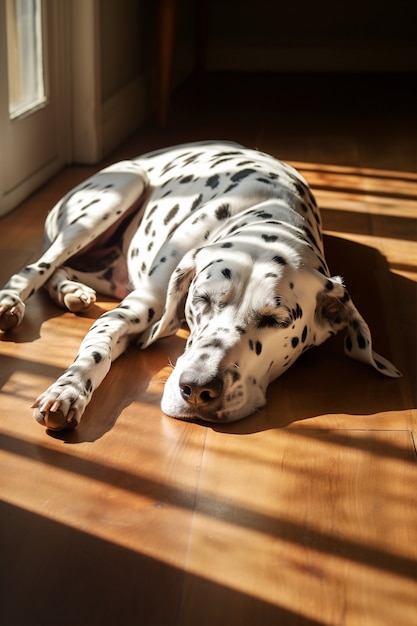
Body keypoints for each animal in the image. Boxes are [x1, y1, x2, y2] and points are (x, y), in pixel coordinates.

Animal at [0, 141, 400, 428]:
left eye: (277, 321)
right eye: (202, 299)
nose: (196, 389)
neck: (268, 211)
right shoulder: (131, 309)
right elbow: (96, 351)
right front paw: (67, 391)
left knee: (61, 271)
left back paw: (72, 292)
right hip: (115, 195)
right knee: (36, 268)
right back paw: (13, 302)